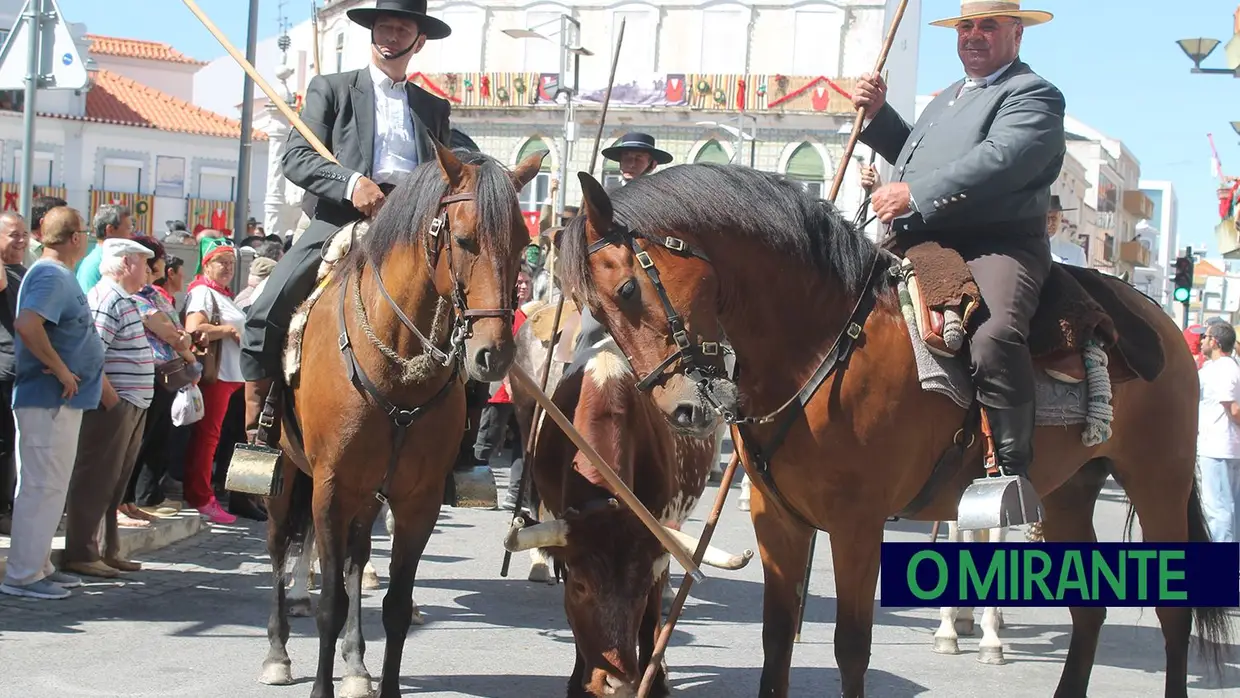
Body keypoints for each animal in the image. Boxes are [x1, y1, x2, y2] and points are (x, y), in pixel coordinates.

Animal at [260, 143, 543, 698]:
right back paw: (278, 653)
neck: (396, 366)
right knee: (281, 545)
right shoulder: (330, 487)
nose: (494, 356)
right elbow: (330, 603)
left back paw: (355, 665)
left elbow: (394, 606)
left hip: (371, 492)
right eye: (463, 238)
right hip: (288, 471)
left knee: (356, 558)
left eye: (523, 242)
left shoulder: (417, 500)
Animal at [498, 332, 748, 694]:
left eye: (640, 590)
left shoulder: (656, 540)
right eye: (580, 587)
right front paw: (581, 682)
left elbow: (650, 617)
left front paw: (654, 682)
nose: (618, 684)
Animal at [560, 164, 1230, 698]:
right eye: (594, 314)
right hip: (1069, 492)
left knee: (1174, 614)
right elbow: (777, 641)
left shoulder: (858, 524)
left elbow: (851, 648)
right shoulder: (779, 520)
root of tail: (1159, 319)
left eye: (628, 288)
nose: (681, 411)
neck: (822, 345)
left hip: (1158, 482)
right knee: (1088, 611)